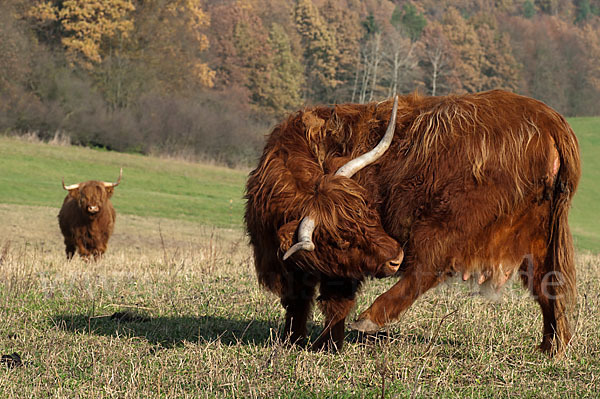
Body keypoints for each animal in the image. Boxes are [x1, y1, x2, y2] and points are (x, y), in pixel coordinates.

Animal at [244, 91, 580, 356]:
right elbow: (300, 302)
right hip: (538, 234)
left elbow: (334, 302)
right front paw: (297, 340)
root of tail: (550, 121)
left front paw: (324, 344)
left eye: (369, 211)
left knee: (426, 268)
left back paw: (371, 318)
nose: (395, 257)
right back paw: (552, 347)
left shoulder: (335, 273)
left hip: (446, 221)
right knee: (547, 284)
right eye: (342, 240)